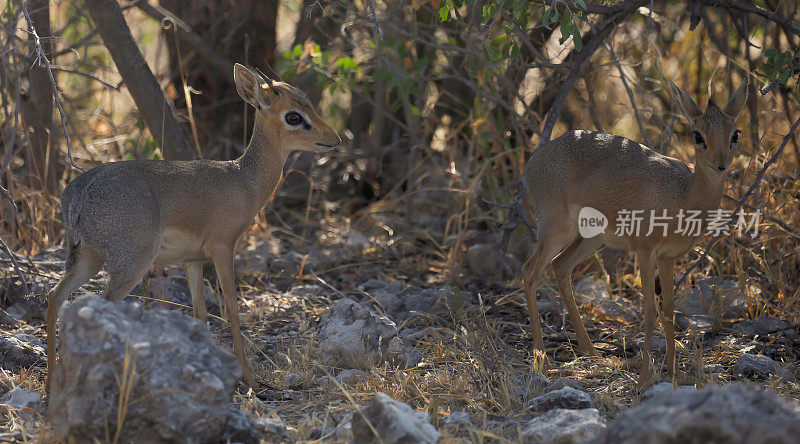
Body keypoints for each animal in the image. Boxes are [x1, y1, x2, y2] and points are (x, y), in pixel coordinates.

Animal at [47, 62, 340, 388]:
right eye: (293, 116)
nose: (335, 139)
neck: (244, 181)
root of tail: (76, 195)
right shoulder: (223, 247)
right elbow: (233, 310)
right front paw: (250, 381)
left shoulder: (193, 261)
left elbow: (199, 313)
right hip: (130, 263)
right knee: (97, 306)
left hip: (86, 259)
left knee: (54, 297)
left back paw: (51, 386)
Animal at [520, 77, 748, 386]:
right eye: (697, 134)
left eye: (734, 133)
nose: (721, 163)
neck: (683, 196)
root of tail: (533, 162)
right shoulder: (645, 251)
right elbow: (650, 310)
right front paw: (643, 380)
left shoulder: (668, 257)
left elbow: (668, 310)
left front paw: (673, 375)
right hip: (556, 230)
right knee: (530, 272)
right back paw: (541, 358)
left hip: (590, 238)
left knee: (560, 266)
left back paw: (592, 353)